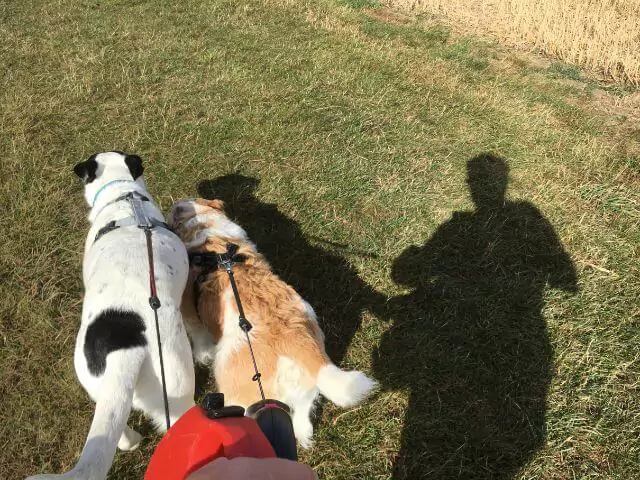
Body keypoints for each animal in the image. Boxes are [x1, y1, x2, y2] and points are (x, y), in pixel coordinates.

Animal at [168, 198, 378, 446]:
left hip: (236, 387)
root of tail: (295, 340)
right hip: (302, 389)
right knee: (302, 417)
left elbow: (198, 336)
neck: (206, 232)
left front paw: (202, 355)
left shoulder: (189, 311)